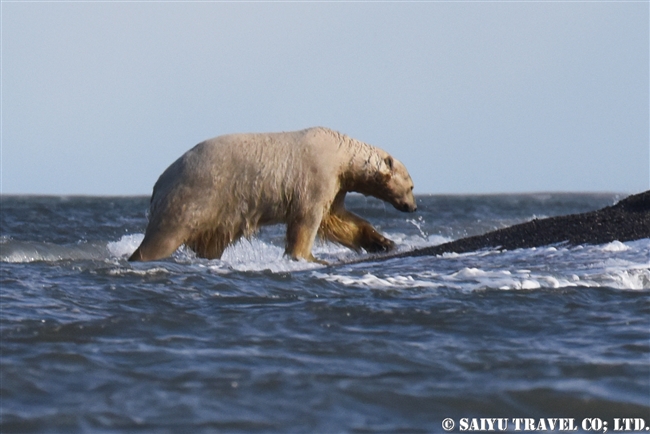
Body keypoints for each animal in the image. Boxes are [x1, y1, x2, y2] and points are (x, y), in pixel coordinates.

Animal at [129, 127, 416, 262]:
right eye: (412, 186)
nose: (412, 207)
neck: (341, 154)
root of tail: (159, 183)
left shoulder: (336, 185)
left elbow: (337, 220)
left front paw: (383, 242)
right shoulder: (317, 175)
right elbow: (307, 219)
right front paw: (307, 257)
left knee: (211, 242)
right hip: (195, 196)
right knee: (164, 236)